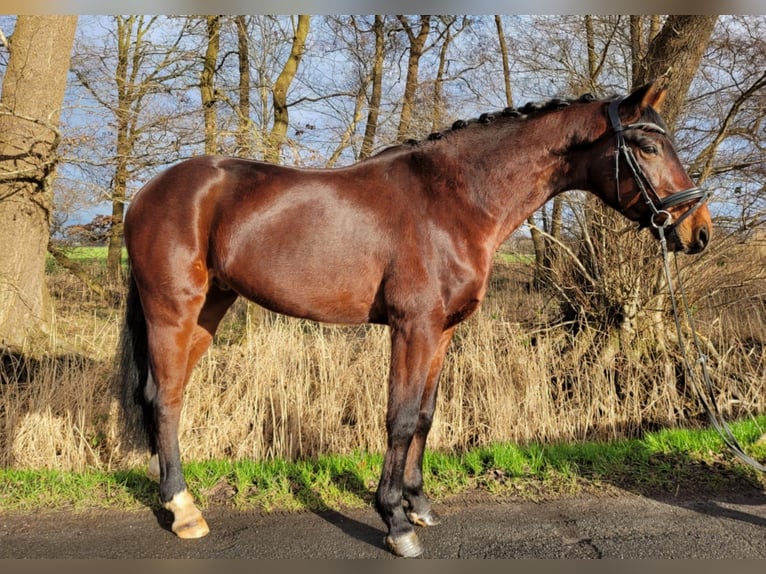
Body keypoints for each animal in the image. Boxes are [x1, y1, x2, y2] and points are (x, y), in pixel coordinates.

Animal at [118, 81, 712, 560]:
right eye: (648, 146)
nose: (699, 231)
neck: (455, 199)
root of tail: (147, 192)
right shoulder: (413, 328)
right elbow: (400, 419)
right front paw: (395, 523)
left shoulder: (441, 333)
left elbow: (425, 417)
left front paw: (419, 505)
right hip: (173, 310)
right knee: (165, 398)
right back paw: (184, 510)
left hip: (209, 310)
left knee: (165, 396)